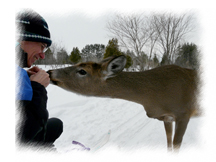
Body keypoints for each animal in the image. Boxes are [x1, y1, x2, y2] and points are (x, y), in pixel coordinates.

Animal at [47, 55, 201, 152]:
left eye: (82, 71)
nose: (50, 72)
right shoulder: (167, 117)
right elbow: (168, 143)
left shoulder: (183, 113)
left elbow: (176, 145)